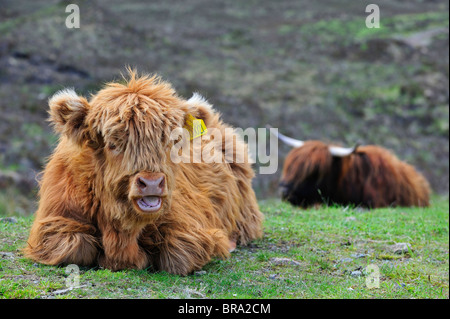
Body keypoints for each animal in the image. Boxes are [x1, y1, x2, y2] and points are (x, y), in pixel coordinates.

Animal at [23, 71, 264, 276]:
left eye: (172, 142)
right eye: (113, 143)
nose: (151, 183)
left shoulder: (191, 226)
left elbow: (178, 256)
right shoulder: (51, 224)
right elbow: (76, 247)